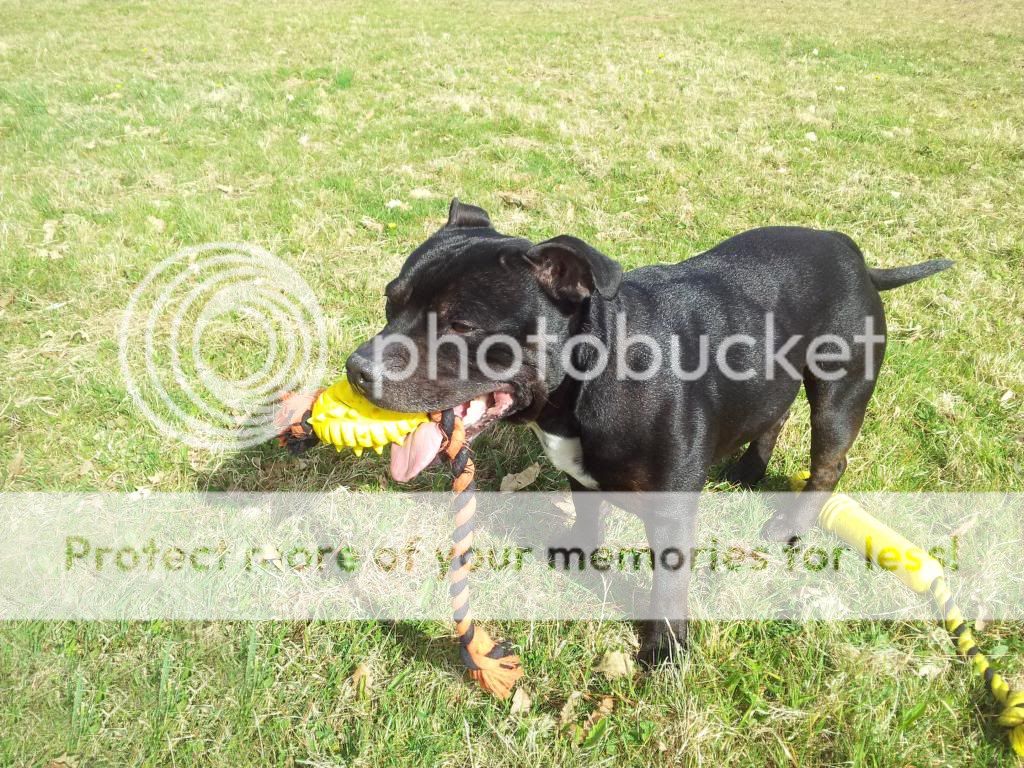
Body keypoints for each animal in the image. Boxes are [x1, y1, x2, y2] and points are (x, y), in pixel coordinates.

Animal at [346, 199, 950, 667]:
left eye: (461, 325)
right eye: (390, 300)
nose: (357, 369)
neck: (591, 371)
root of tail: (853, 253)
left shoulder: (671, 510)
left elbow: (669, 580)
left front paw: (666, 648)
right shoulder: (581, 474)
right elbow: (589, 514)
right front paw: (580, 560)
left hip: (840, 391)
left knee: (829, 460)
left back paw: (791, 525)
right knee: (773, 413)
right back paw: (749, 469)